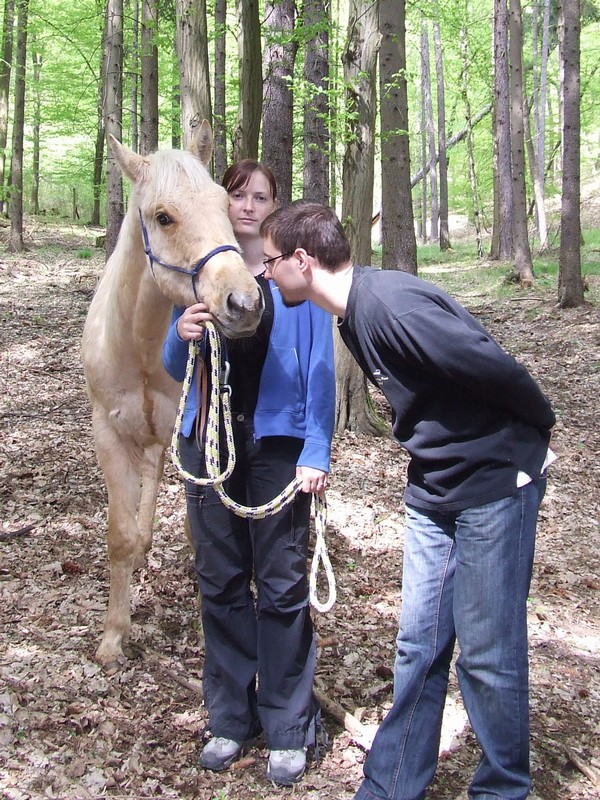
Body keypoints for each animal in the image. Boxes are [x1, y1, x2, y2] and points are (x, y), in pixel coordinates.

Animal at [81, 121, 263, 671]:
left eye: (225, 202)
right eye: (164, 216)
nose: (244, 303)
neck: (137, 343)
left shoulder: (195, 437)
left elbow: (197, 529)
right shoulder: (108, 434)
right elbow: (119, 536)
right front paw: (113, 636)